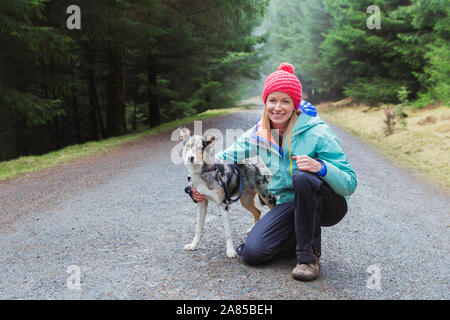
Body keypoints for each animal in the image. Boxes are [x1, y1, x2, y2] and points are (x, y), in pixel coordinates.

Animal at [178, 127, 276, 258]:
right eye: (188, 146)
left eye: (201, 148)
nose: (191, 158)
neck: (203, 173)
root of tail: (258, 164)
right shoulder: (202, 203)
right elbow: (199, 228)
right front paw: (193, 245)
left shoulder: (223, 205)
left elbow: (227, 231)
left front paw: (230, 250)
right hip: (245, 200)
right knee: (257, 212)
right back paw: (252, 229)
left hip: (266, 197)